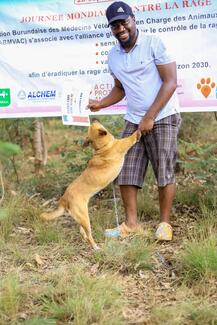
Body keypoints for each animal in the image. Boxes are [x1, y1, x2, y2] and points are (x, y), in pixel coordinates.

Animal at [40, 120, 141, 249]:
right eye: (95, 124)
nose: (93, 119)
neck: (103, 148)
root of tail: (64, 199)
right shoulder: (124, 143)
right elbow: (132, 137)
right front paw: (139, 129)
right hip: (85, 218)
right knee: (89, 236)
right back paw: (95, 247)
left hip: (81, 217)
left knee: (82, 231)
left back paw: (84, 237)